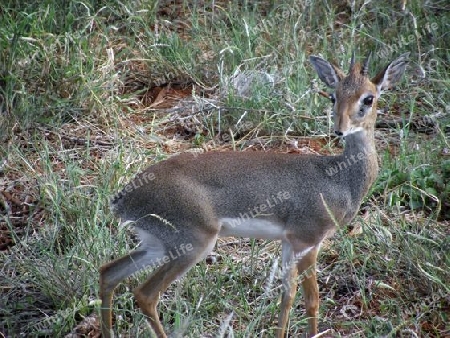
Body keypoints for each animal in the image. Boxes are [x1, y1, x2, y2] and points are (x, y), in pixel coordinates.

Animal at [98, 51, 408, 336]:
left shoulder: (289, 242)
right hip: (193, 244)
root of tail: (124, 198)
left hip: (157, 244)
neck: (340, 178)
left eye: (368, 98)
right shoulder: (308, 241)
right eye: (334, 97)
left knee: (108, 273)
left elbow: (287, 296)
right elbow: (312, 300)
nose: (339, 131)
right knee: (145, 294)